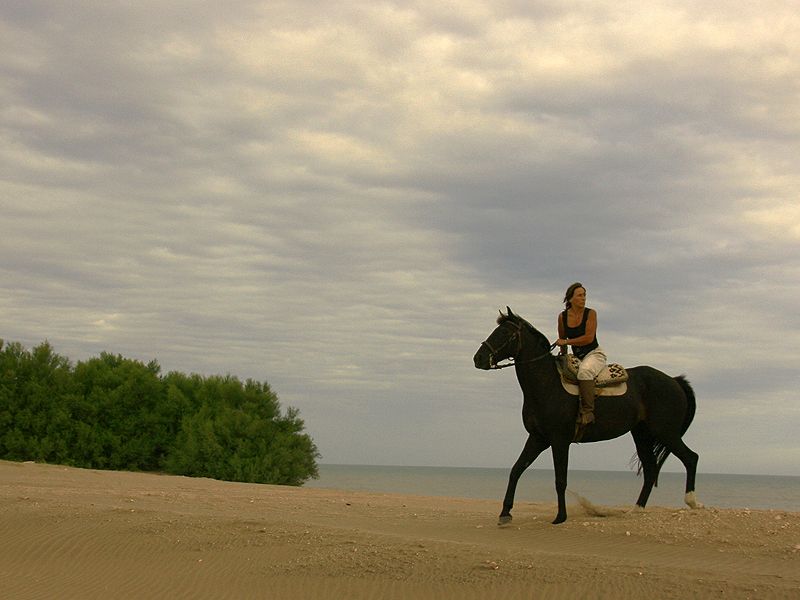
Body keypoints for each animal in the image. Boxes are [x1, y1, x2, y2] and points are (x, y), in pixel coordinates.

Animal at [472, 310, 704, 524]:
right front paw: (505, 513)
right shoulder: (538, 438)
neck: (547, 384)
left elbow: (560, 480)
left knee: (690, 458)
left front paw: (560, 517)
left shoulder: (559, 440)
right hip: (642, 435)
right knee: (650, 469)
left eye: (505, 333)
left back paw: (693, 502)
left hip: (666, 432)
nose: (478, 358)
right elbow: (516, 470)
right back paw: (637, 509)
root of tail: (674, 380)